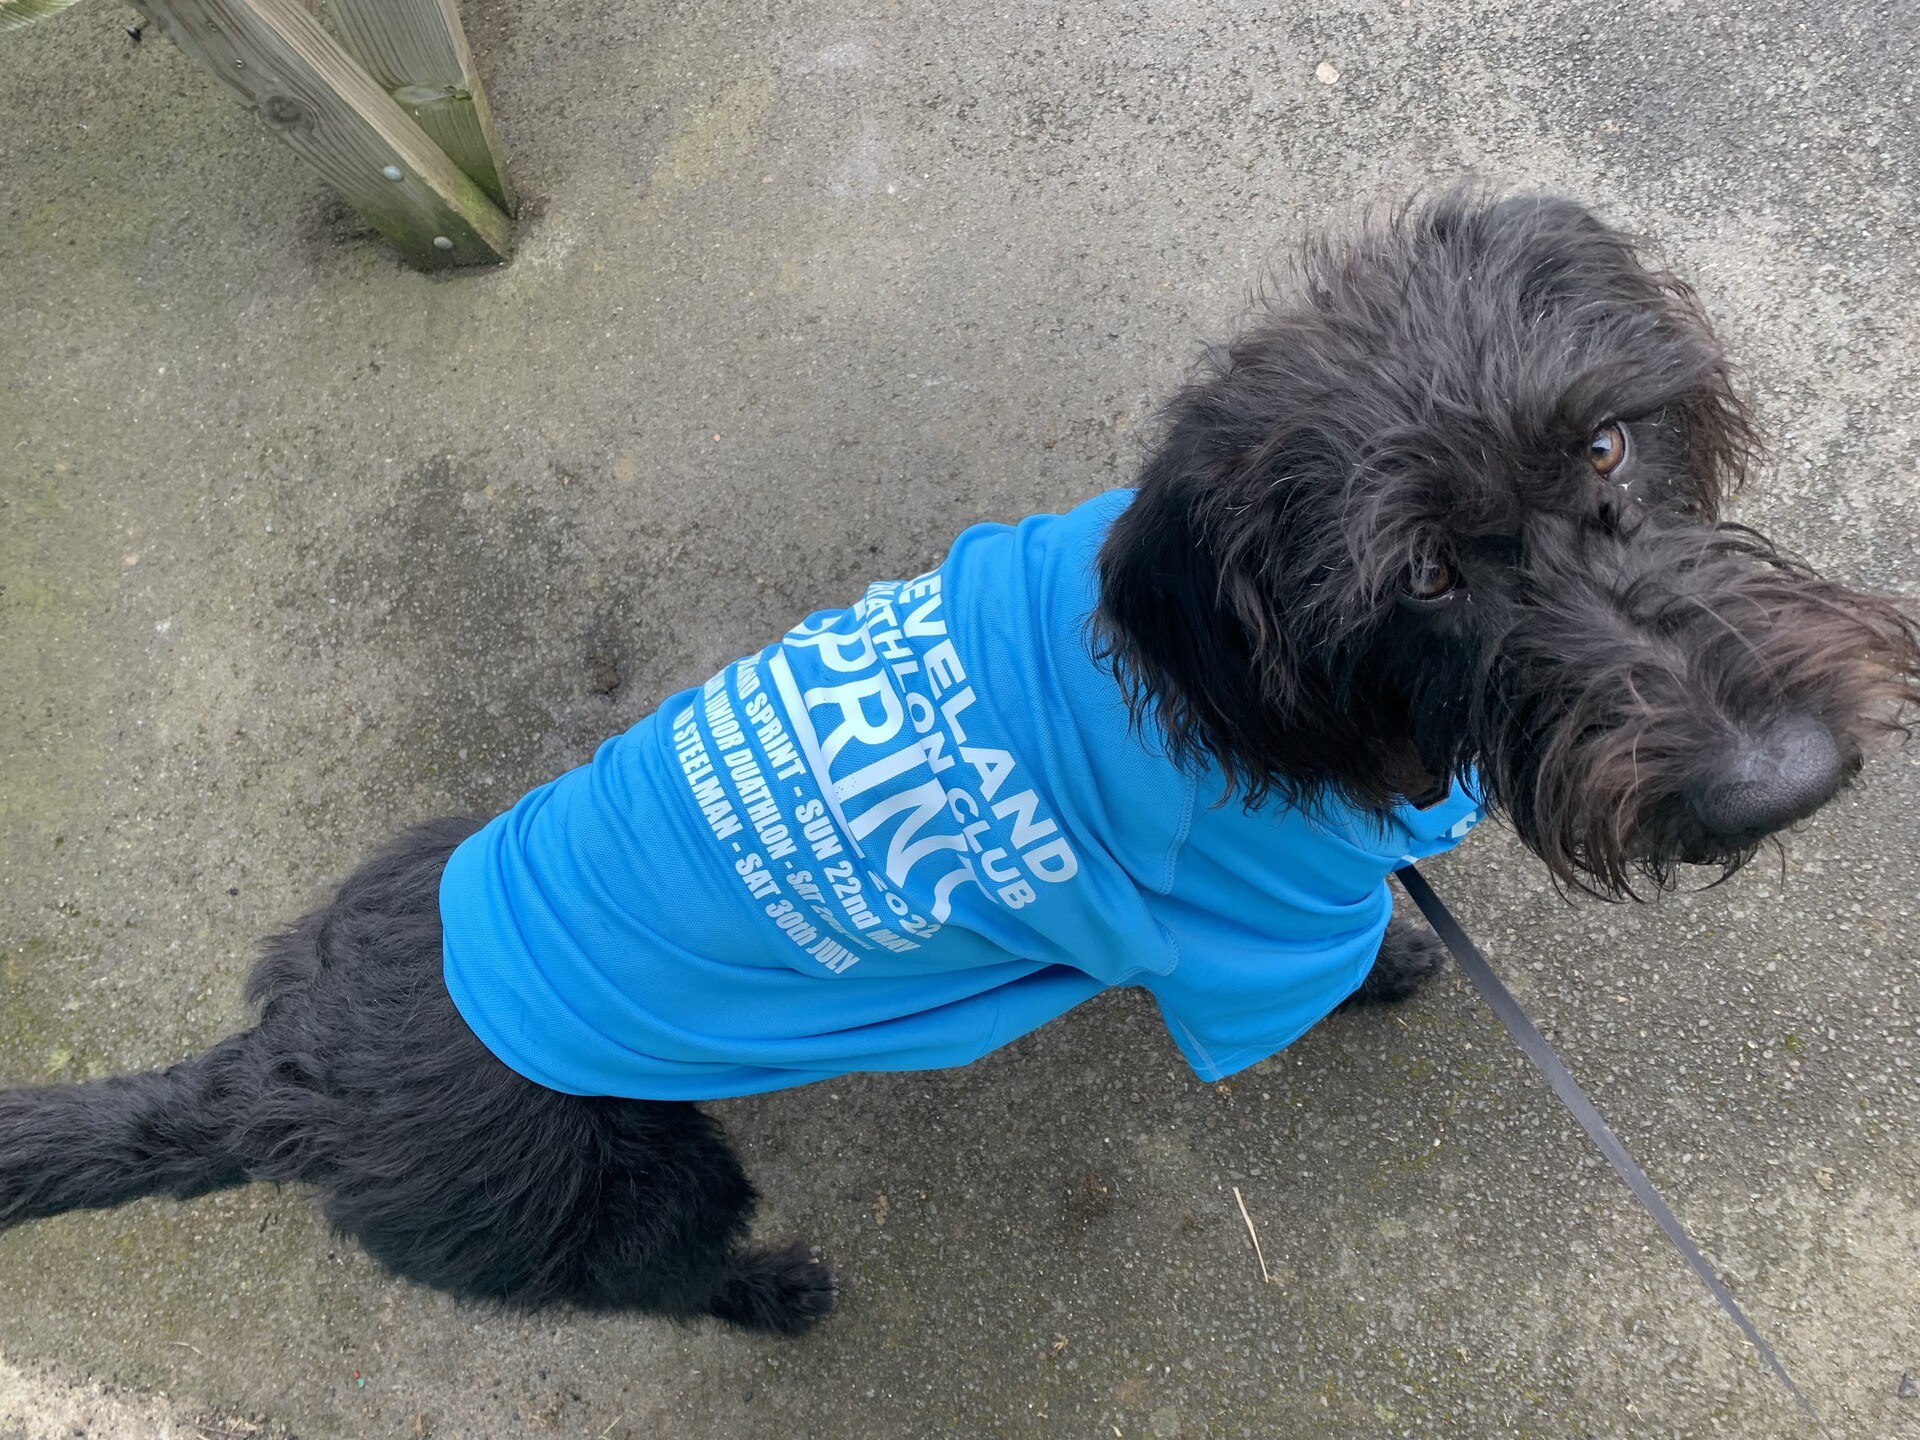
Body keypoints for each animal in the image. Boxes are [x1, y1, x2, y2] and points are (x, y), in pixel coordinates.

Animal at [3, 194, 1920, 1344]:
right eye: (1427, 579)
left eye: (1604, 443)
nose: (1785, 777)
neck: (1261, 698)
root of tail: (277, 1067)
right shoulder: (1249, 947)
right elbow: (1354, 956)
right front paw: (1398, 969)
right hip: (624, 1205)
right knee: (673, 1282)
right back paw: (775, 1295)